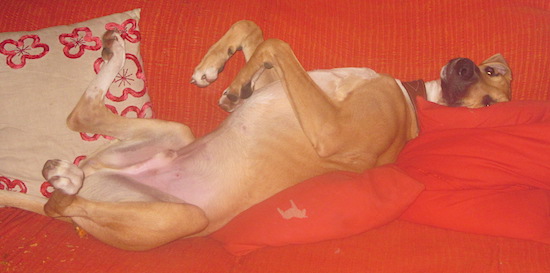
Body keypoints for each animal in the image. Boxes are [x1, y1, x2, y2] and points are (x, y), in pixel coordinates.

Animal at [2, 20, 516, 250]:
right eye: (489, 71)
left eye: (493, 104)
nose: (464, 65)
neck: (411, 101)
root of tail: (94, 178)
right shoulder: (284, 82)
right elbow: (257, 34)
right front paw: (221, 73)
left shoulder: (331, 129)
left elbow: (276, 42)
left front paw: (231, 83)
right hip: (174, 134)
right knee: (80, 117)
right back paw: (114, 51)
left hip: (179, 217)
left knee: (59, 199)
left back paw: (64, 176)